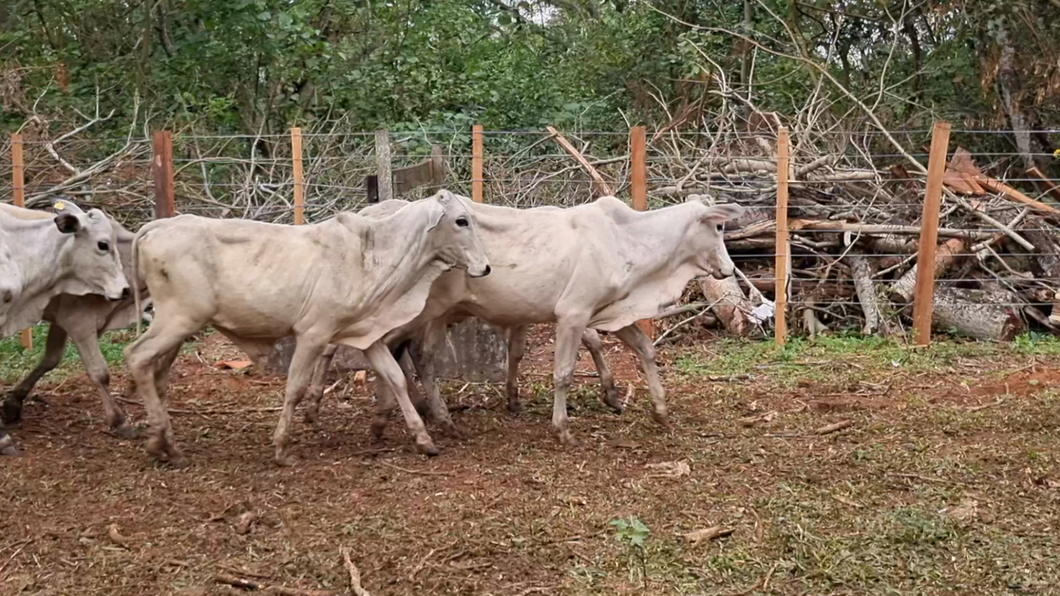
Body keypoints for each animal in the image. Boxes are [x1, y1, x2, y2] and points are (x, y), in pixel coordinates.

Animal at [125, 189, 491, 464]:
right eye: (461, 220)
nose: (486, 267)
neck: (372, 253)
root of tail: (157, 226)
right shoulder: (313, 333)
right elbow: (296, 387)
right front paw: (281, 448)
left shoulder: (367, 335)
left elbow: (396, 378)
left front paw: (424, 439)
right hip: (179, 318)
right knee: (137, 356)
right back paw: (158, 440)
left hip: (179, 327)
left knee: (157, 374)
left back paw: (167, 445)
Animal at [307, 195, 741, 445]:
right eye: (718, 226)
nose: (728, 269)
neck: (626, 239)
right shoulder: (573, 313)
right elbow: (564, 372)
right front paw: (563, 428)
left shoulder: (608, 311)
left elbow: (646, 350)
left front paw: (658, 410)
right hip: (411, 312)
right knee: (378, 350)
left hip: (431, 316)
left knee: (412, 357)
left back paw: (415, 418)